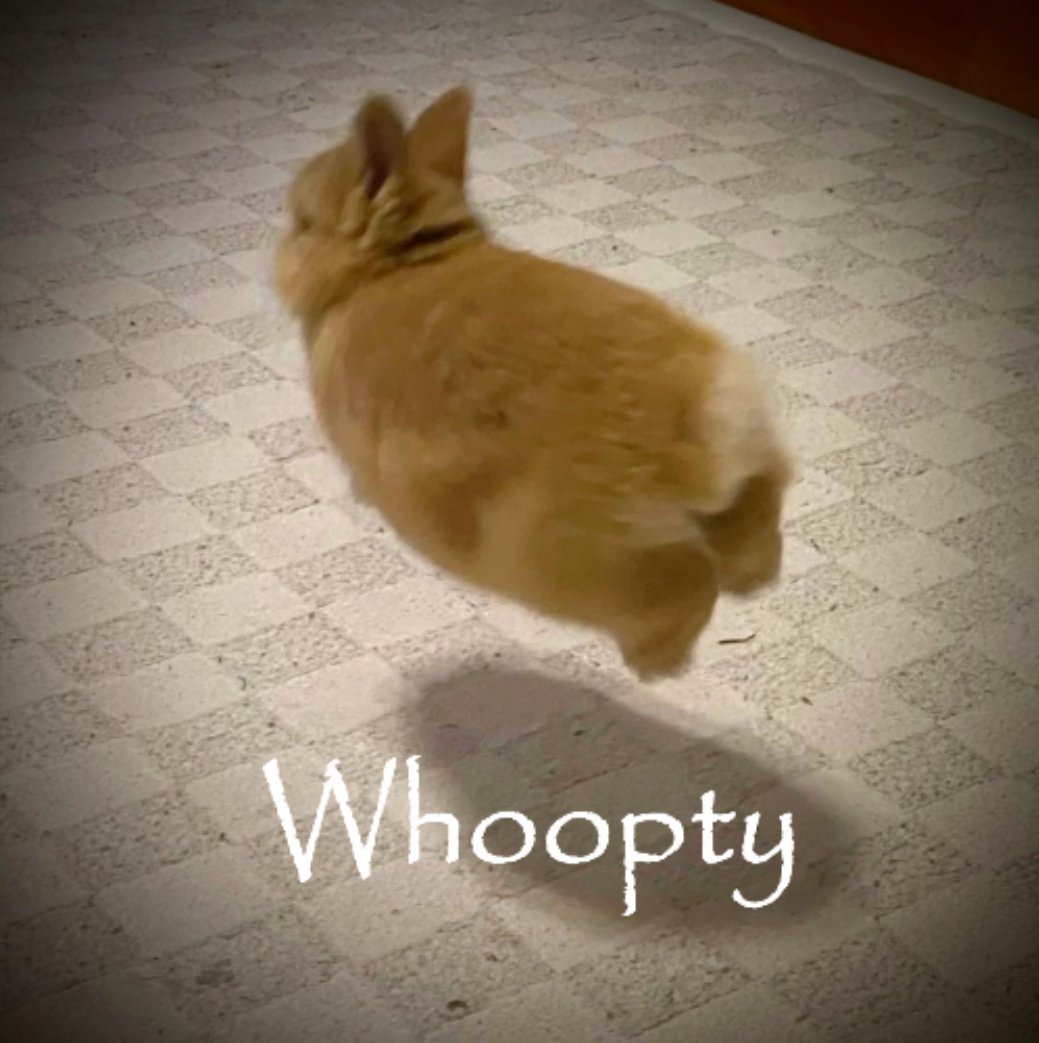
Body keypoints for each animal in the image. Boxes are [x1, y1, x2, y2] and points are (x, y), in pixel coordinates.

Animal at [274, 85, 795, 681]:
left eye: (303, 223)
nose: (280, 248)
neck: (397, 267)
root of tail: (696, 439)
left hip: (563, 559)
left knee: (682, 584)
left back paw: (659, 663)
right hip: (744, 477)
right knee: (755, 519)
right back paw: (751, 582)